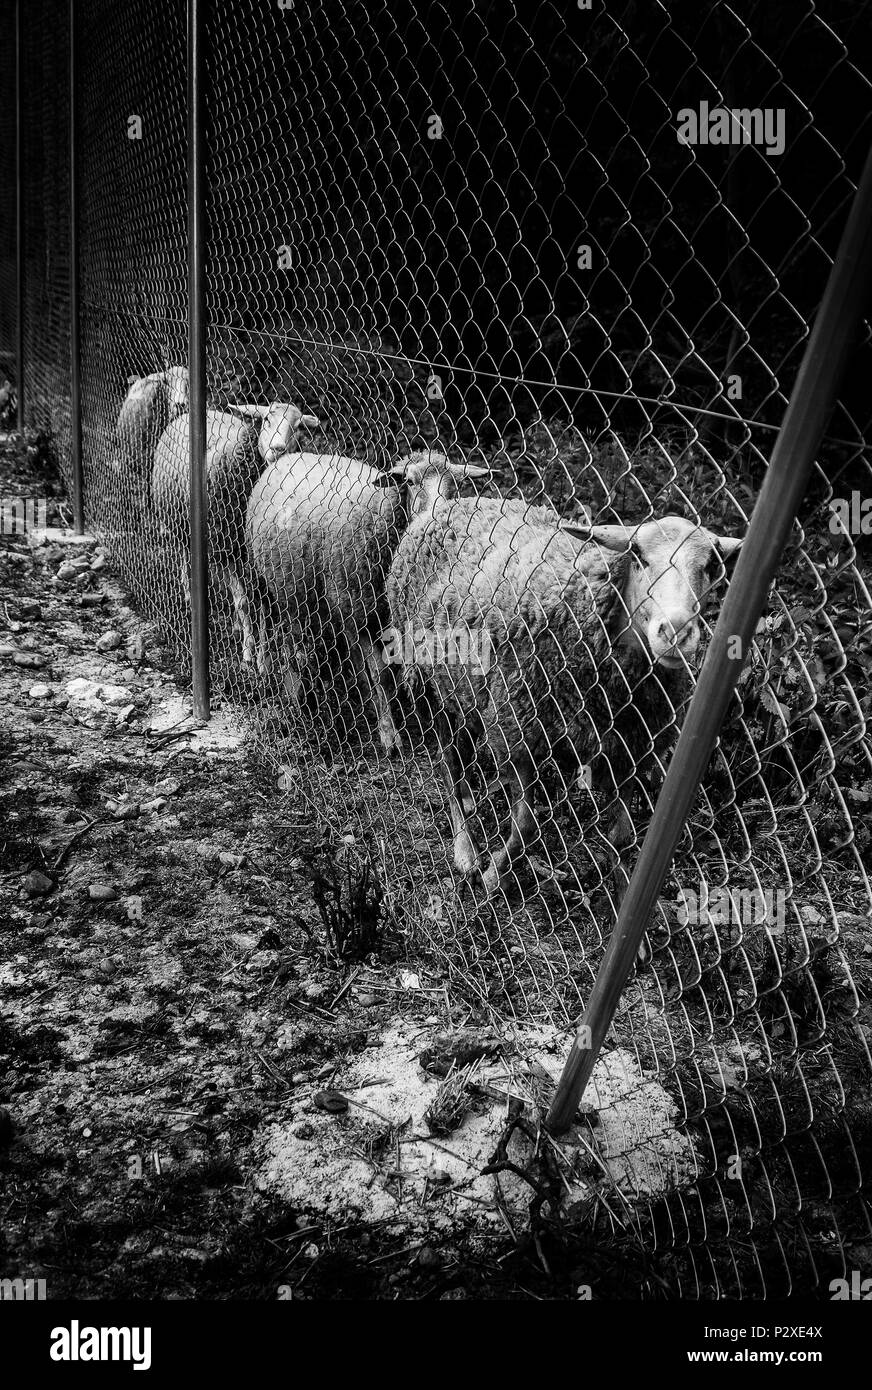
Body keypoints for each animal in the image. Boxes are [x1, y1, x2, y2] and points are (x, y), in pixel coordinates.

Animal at [153, 400, 321, 664]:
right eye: (266, 420)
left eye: (298, 427)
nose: (278, 449)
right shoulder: (227, 548)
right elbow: (243, 602)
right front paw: (248, 653)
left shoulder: (260, 556)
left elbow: (264, 605)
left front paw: (264, 658)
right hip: (181, 523)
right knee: (184, 554)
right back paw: (190, 596)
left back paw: (234, 625)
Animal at [246, 450, 492, 756]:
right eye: (410, 481)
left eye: (456, 485)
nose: (435, 517)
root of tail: (288, 456)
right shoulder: (357, 615)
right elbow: (380, 675)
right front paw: (389, 734)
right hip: (272, 581)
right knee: (279, 628)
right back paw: (286, 685)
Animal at [389, 500, 745, 900]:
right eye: (638, 556)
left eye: (711, 565)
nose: (677, 631)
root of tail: (450, 504)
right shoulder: (518, 728)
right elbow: (526, 825)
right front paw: (496, 874)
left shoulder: (628, 749)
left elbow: (622, 835)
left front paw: (621, 889)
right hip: (432, 681)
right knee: (449, 763)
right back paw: (465, 849)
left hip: (465, 688)